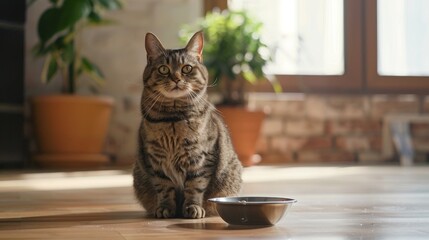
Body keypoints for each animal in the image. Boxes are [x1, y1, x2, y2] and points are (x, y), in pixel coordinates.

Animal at [132, 31, 242, 218]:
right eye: (163, 69)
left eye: (187, 68)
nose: (176, 78)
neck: (173, 119)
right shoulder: (155, 159)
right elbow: (164, 187)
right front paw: (165, 208)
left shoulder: (201, 158)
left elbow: (195, 186)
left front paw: (193, 207)